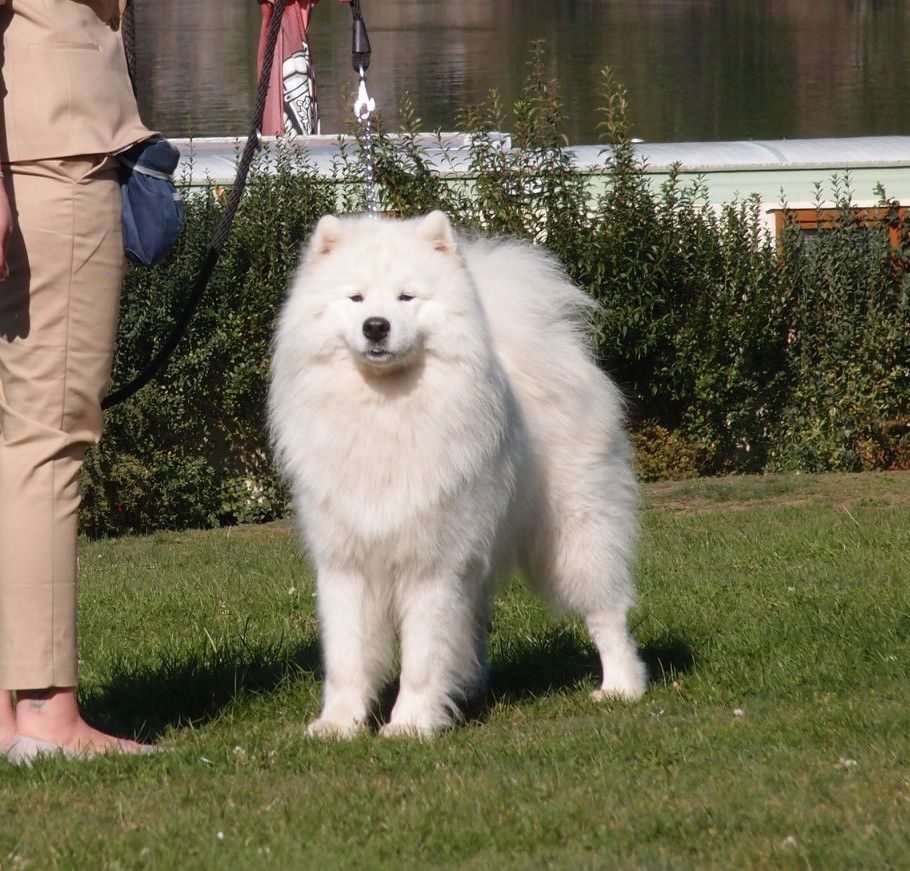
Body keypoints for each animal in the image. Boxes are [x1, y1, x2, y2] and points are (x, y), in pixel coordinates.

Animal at [270, 211, 648, 736]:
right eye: (356, 298)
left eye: (407, 297)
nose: (375, 327)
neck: (384, 412)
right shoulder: (346, 563)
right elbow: (347, 657)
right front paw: (339, 725)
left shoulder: (432, 563)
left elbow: (422, 656)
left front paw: (409, 724)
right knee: (474, 620)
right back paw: (468, 688)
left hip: (574, 534)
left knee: (607, 611)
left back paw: (622, 687)